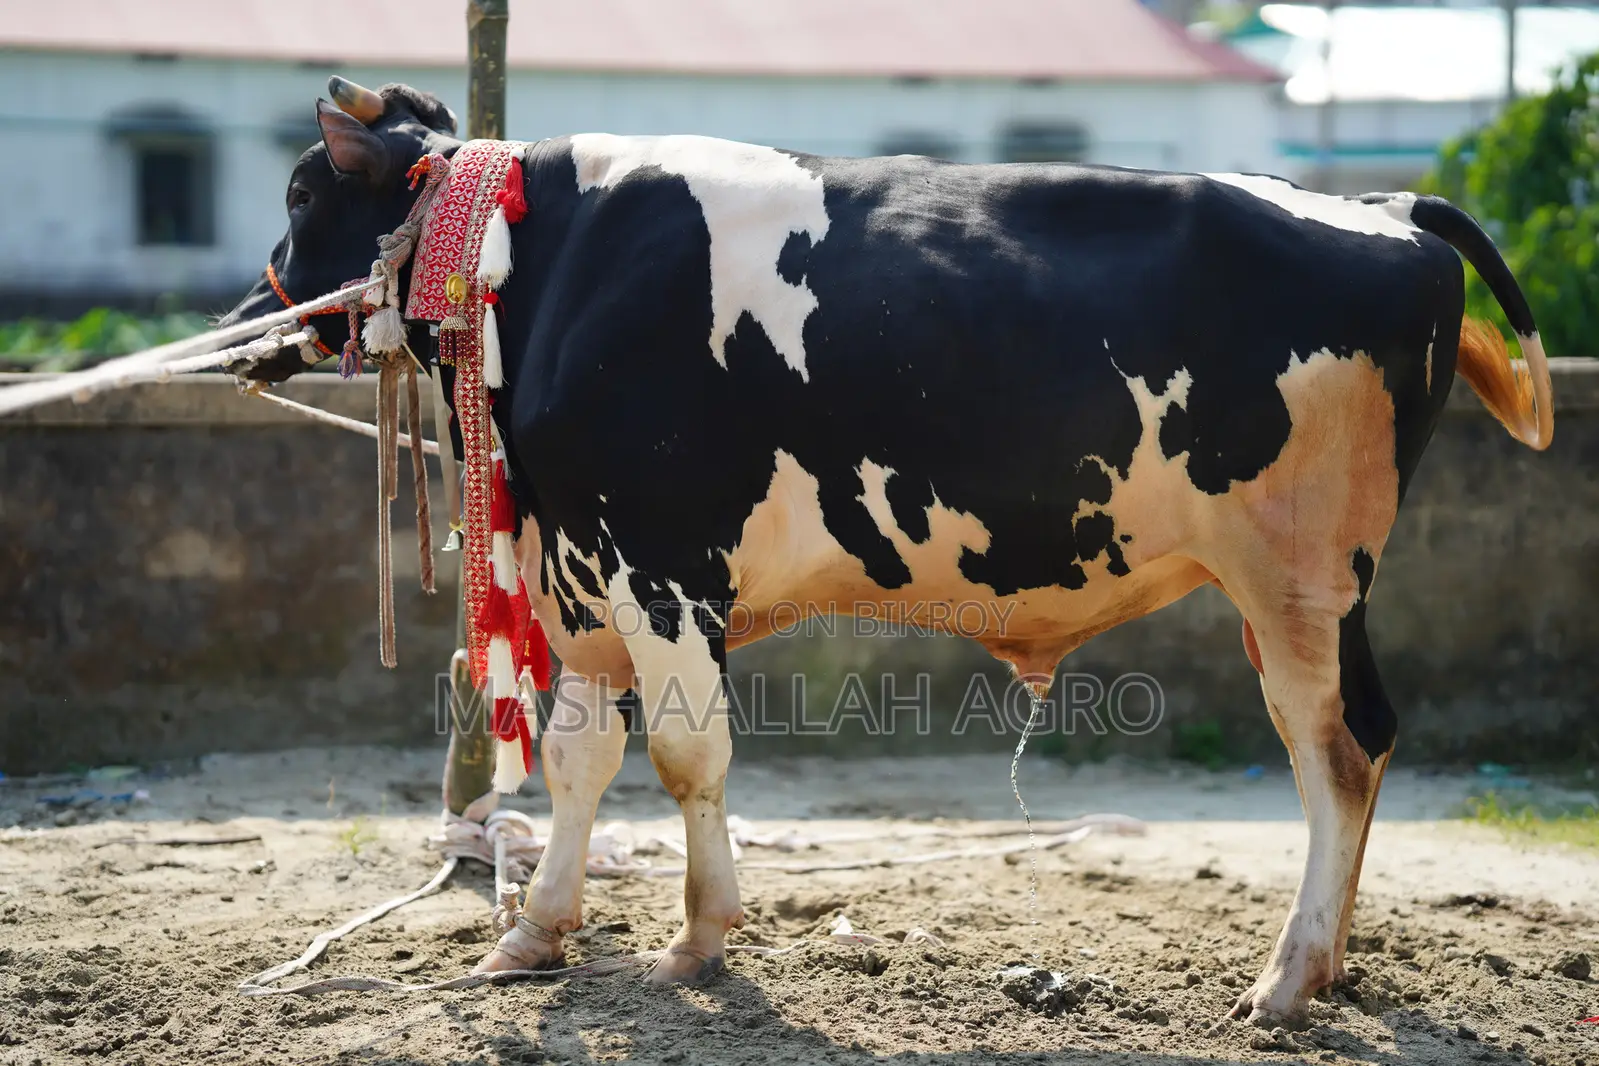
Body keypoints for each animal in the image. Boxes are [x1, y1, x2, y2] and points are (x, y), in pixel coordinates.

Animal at [221, 78, 1554, 1028]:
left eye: (300, 196)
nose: (246, 317)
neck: (544, 271)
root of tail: (1385, 207)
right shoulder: (584, 572)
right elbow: (577, 760)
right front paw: (535, 932)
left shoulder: (662, 564)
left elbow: (688, 756)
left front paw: (699, 939)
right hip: (1299, 588)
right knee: (1352, 744)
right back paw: (1328, 970)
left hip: (1301, 577)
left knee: (1338, 748)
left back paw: (1285, 978)